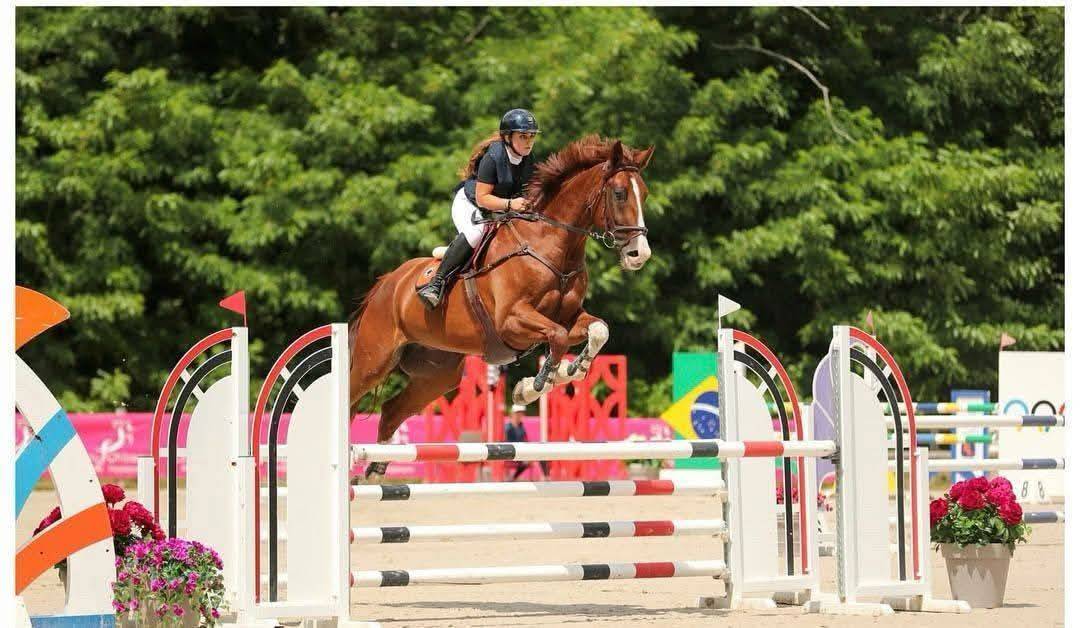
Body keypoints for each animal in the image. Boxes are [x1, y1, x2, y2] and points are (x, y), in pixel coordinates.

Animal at [348, 136, 655, 480]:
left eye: (644, 194)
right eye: (619, 193)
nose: (639, 254)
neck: (551, 245)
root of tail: (387, 283)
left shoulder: (569, 317)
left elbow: (598, 330)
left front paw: (572, 370)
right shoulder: (512, 321)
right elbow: (558, 337)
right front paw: (533, 387)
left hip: (437, 374)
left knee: (390, 411)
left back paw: (374, 471)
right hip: (375, 360)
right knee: (350, 399)